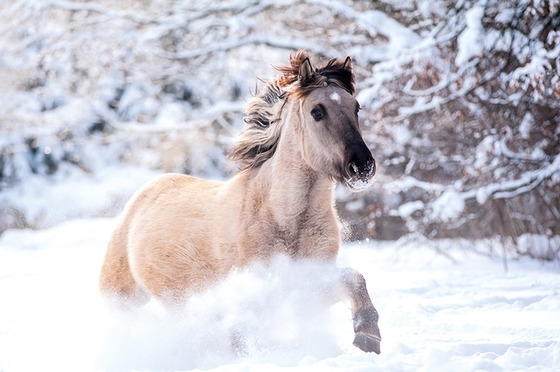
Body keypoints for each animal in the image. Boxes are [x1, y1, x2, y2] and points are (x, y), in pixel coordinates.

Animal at [98, 49, 382, 354]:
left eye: (356, 107)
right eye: (317, 111)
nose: (362, 167)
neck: (286, 221)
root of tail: (145, 193)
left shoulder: (307, 283)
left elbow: (355, 279)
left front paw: (368, 338)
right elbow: (242, 336)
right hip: (121, 296)